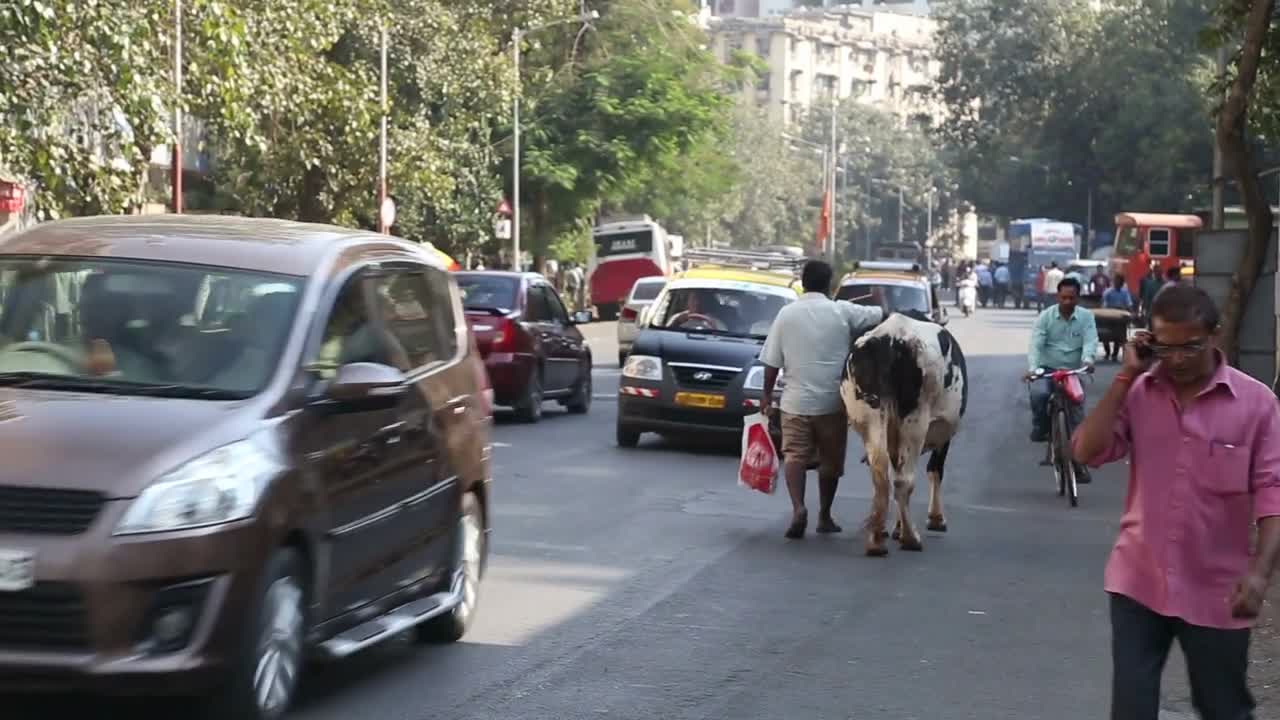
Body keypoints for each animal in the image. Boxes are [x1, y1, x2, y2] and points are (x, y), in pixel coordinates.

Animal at [839, 310, 967, 556]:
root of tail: (892, 336)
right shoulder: (943, 432)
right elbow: (935, 469)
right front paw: (936, 519)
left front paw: (895, 528)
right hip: (915, 421)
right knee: (903, 480)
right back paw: (910, 538)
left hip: (871, 418)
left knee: (881, 477)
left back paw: (876, 541)